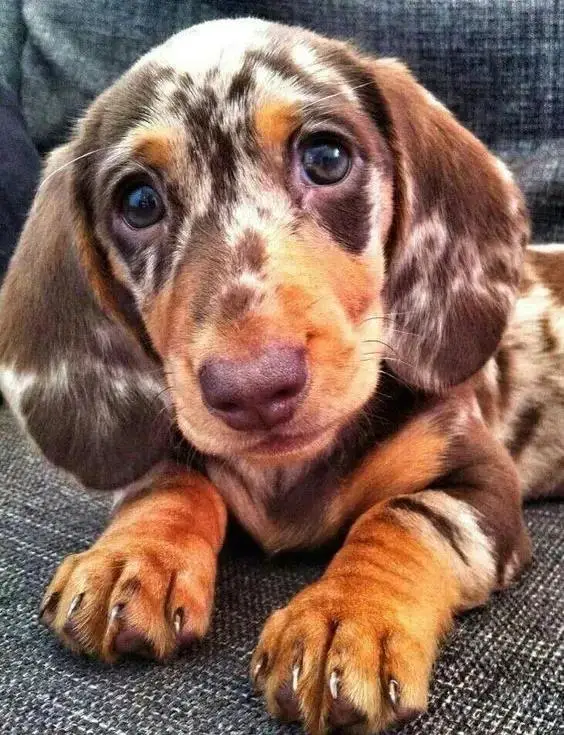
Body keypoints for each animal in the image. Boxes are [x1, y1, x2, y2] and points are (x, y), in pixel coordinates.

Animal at [0, 17, 562, 735]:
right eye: (138, 200)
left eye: (326, 158)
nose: (253, 388)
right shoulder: (178, 448)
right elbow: (170, 483)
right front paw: (132, 558)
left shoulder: (481, 481)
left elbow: (403, 515)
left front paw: (345, 618)